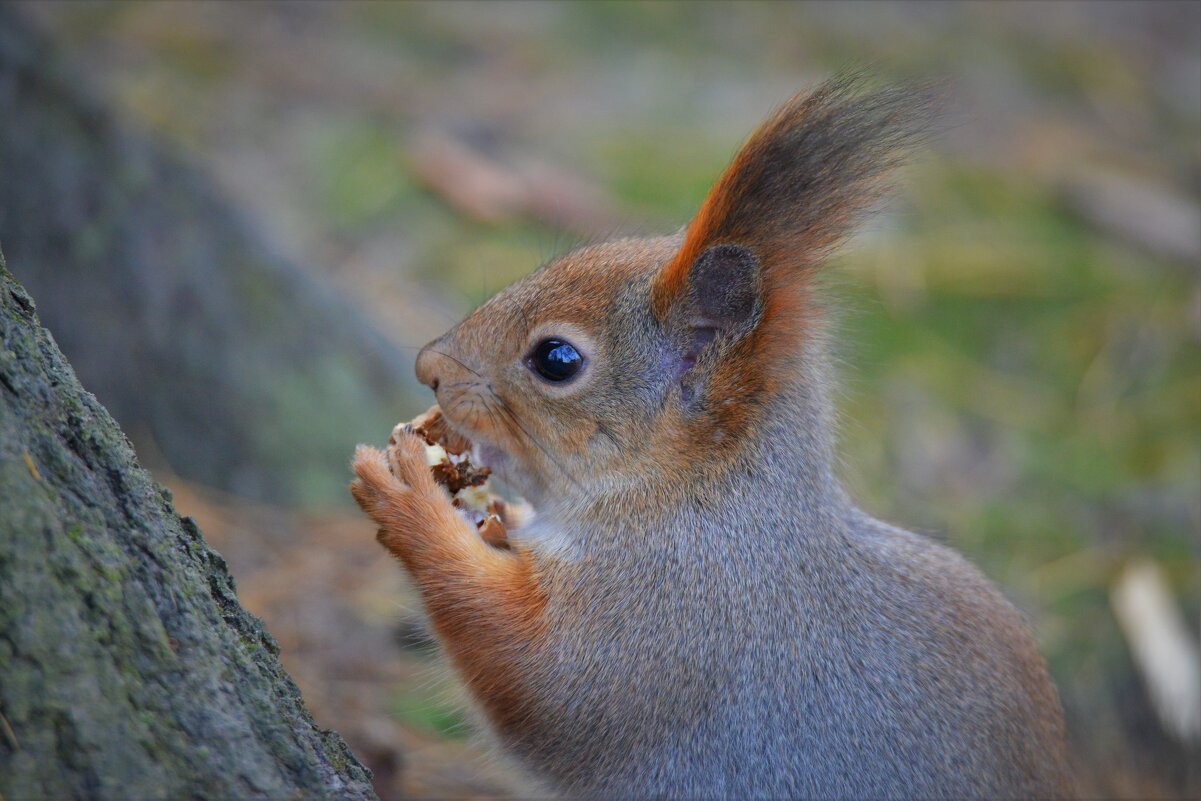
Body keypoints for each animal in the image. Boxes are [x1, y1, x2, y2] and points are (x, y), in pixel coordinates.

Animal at [350, 73, 1076, 797]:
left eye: (556, 359)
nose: (429, 367)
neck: (700, 494)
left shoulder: (670, 610)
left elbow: (539, 679)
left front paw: (408, 497)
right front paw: (489, 514)